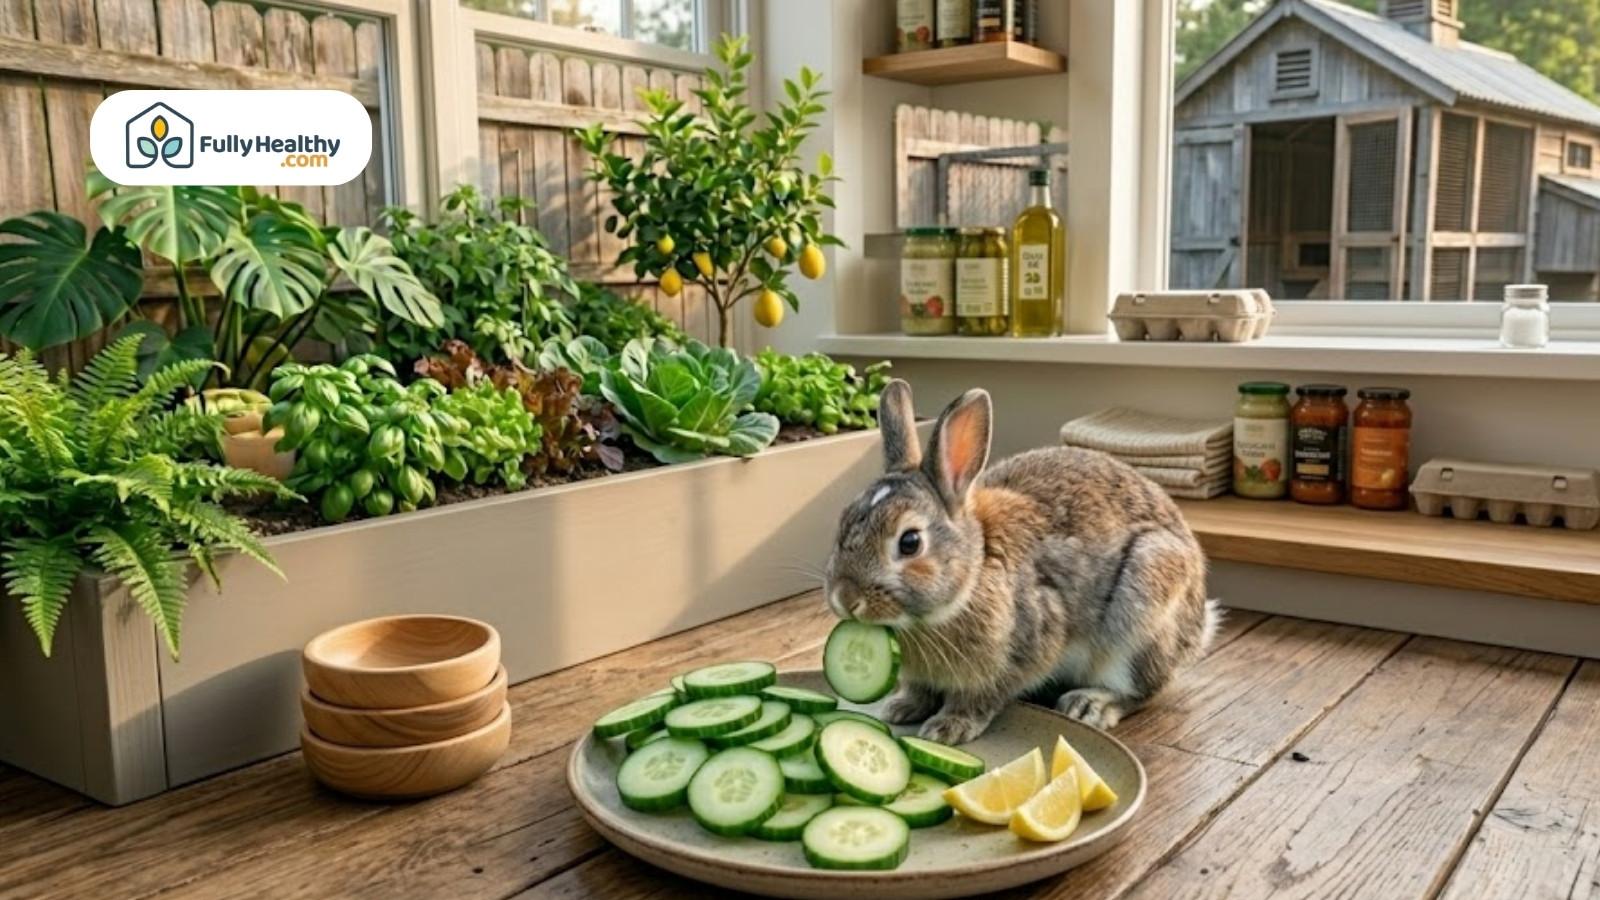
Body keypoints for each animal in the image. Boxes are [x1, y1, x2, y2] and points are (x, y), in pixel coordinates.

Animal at [823, 379, 1218, 746]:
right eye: (843, 520)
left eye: (910, 542)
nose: (845, 598)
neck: (974, 571)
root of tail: (1198, 628)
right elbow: (919, 689)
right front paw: (901, 707)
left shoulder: (1023, 649)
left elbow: (982, 695)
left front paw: (948, 727)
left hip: (1142, 606)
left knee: (1146, 689)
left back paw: (1090, 705)